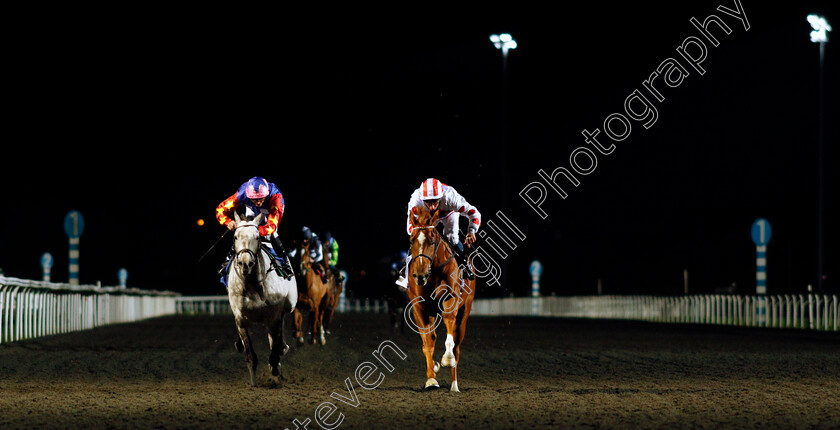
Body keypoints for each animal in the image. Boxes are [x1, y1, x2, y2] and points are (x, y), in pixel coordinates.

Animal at [408, 207, 476, 392]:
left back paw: (454, 385)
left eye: (432, 241)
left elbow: (449, 325)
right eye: (412, 241)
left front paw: (446, 358)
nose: (420, 275)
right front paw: (432, 378)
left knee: (457, 346)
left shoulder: (450, 300)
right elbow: (428, 343)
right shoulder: (420, 308)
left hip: (464, 312)